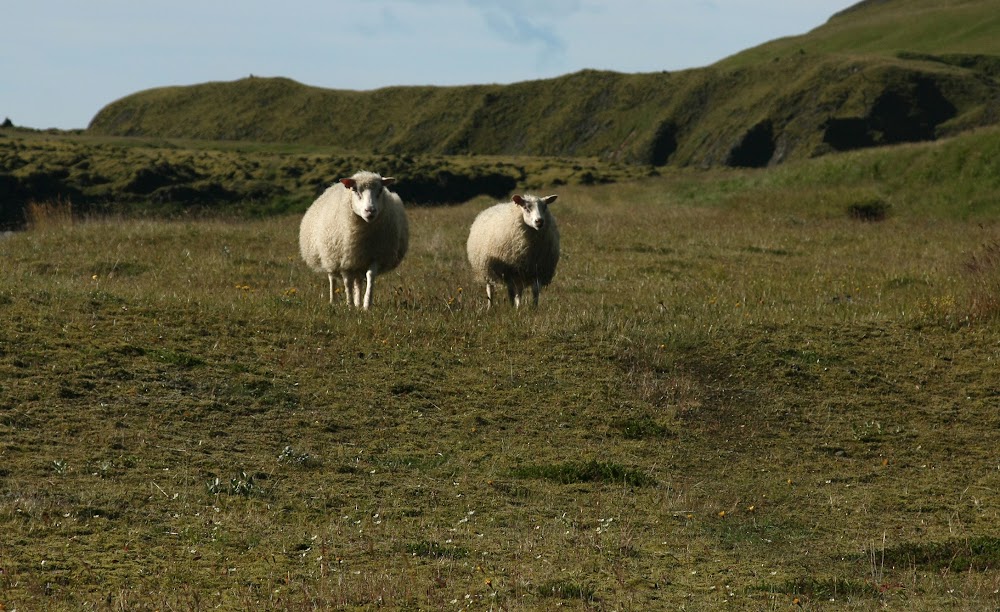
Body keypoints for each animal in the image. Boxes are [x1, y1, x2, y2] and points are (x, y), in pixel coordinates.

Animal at [298, 170, 408, 308]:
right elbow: (347, 282)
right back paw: (334, 301)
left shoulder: (375, 255)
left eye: (380, 190)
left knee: (358, 281)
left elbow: (370, 276)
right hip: (330, 257)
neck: (363, 236)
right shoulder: (344, 260)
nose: (370, 210)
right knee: (332, 278)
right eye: (355, 190)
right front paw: (349, 305)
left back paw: (358, 303)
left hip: (357, 262)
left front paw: (366, 305)